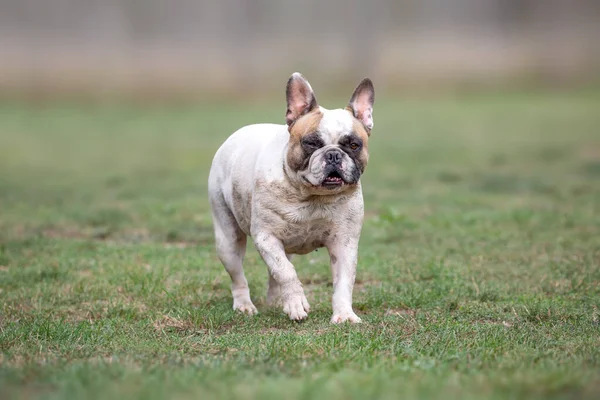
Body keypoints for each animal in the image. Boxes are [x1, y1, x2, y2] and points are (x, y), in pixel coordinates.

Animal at [209, 71, 372, 322]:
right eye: (311, 143)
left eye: (354, 145)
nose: (334, 155)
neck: (312, 196)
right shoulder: (266, 237)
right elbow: (286, 271)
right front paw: (296, 304)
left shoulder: (344, 243)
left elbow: (344, 282)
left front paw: (344, 314)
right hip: (228, 241)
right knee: (240, 276)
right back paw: (244, 305)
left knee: (274, 272)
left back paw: (276, 301)